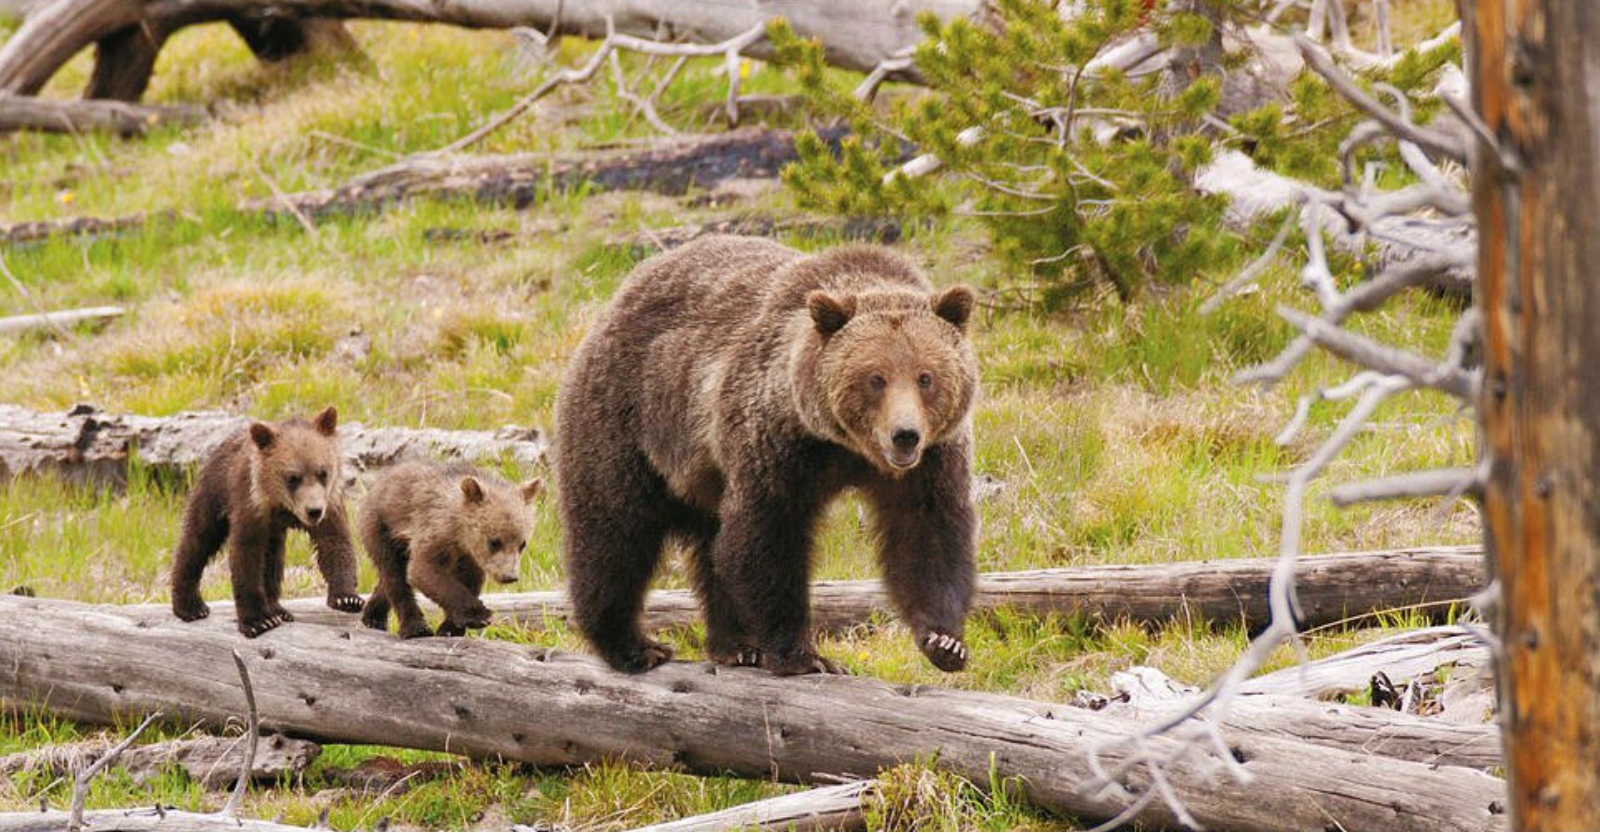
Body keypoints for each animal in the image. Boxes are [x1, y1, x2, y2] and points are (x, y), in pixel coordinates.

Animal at [169, 406, 364, 637]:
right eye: (293, 477)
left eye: (322, 472)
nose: (314, 511)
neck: (283, 507)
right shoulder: (252, 504)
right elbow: (247, 556)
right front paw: (259, 621)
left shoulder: (330, 503)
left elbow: (335, 543)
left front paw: (348, 598)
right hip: (214, 492)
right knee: (198, 540)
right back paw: (190, 607)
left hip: (273, 532)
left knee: (273, 560)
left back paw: (279, 609)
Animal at [358, 460, 541, 639]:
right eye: (494, 542)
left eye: (522, 543)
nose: (509, 576)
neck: (459, 534)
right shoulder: (435, 531)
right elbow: (424, 570)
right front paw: (480, 616)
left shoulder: (468, 556)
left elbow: (470, 580)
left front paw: (451, 628)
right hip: (382, 526)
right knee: (393, 572)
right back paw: (414, 628)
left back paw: (373, 616)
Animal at [555, 235, 979, 676]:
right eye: (875, 378)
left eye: (926, 377)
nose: (905, 436)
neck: (847, 448)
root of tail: (618, 297)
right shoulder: (777, 442)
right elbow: (766, 537)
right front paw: (804, 655)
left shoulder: (932, 460)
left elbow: (927, 534)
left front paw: (945, 641)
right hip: (626, 423)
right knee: (615, 532)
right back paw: (634, 646)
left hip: (704, 476)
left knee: (711, 543)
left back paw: (736, 646)